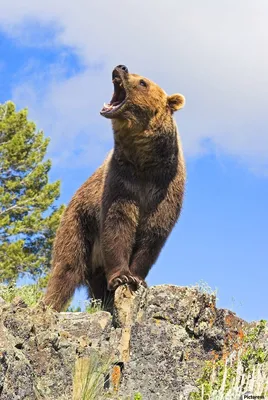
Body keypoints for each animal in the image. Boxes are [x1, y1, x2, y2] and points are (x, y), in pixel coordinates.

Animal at [44, 65, 186, 312]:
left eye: (143, 82)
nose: (120, 67)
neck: (144, 162)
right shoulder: (122, 182)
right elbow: (117, 223)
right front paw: (121, 276)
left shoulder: (165, 187)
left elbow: (154, 232)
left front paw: (137, 278)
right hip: (79, 224)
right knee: (67, 268)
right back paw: (49, 304)